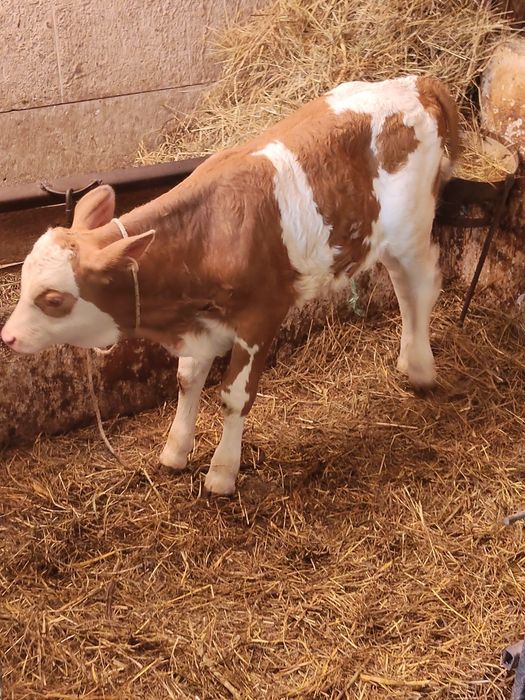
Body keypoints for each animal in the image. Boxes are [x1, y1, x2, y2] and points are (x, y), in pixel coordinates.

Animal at [1, 75, 459, 495]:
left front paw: (222, 473)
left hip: (412, 228)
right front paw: (175, 452)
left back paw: (421, 368)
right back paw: (409, 360)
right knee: (402, 286)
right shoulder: (200, 323)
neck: (206, 235)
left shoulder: (261, 317)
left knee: (419, 286)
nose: (7, 337)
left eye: (53, 299)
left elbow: (235, 395)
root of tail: (418, 82)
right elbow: (188, 379)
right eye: (24, 280)